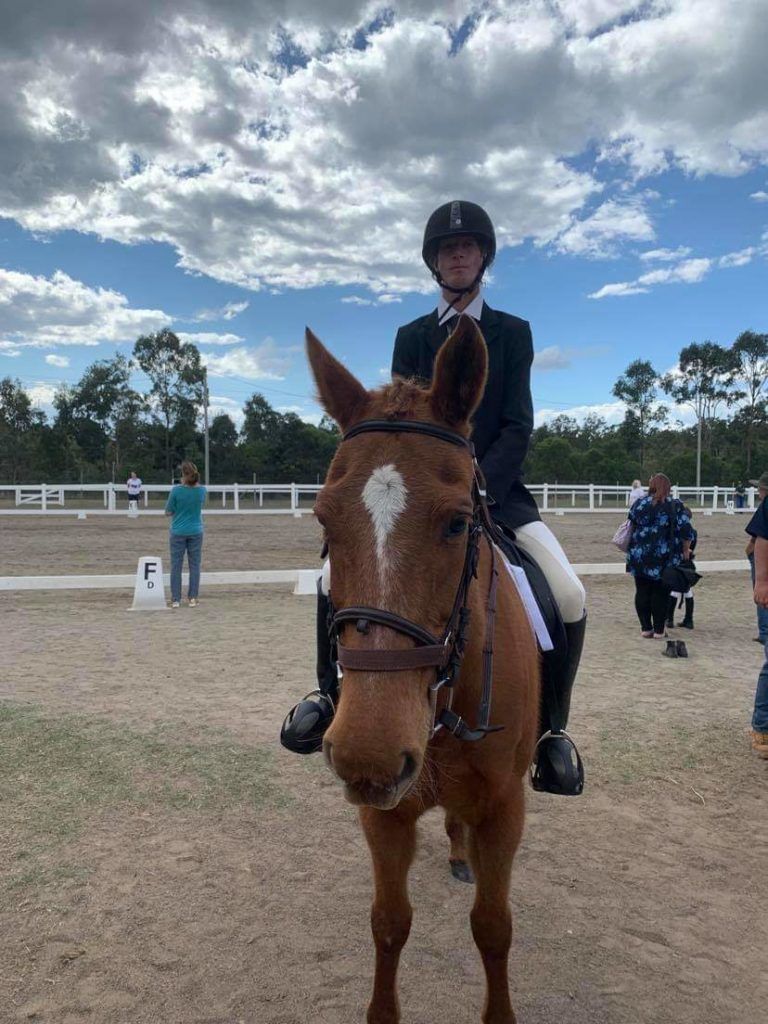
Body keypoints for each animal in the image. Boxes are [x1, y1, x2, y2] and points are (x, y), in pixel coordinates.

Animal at [307, 314, 540, 1024]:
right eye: (323, 518)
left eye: (460, 523)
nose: (370, 758)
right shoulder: (382, 814)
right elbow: (388, 923)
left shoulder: (505, 809)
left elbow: (493, 927)